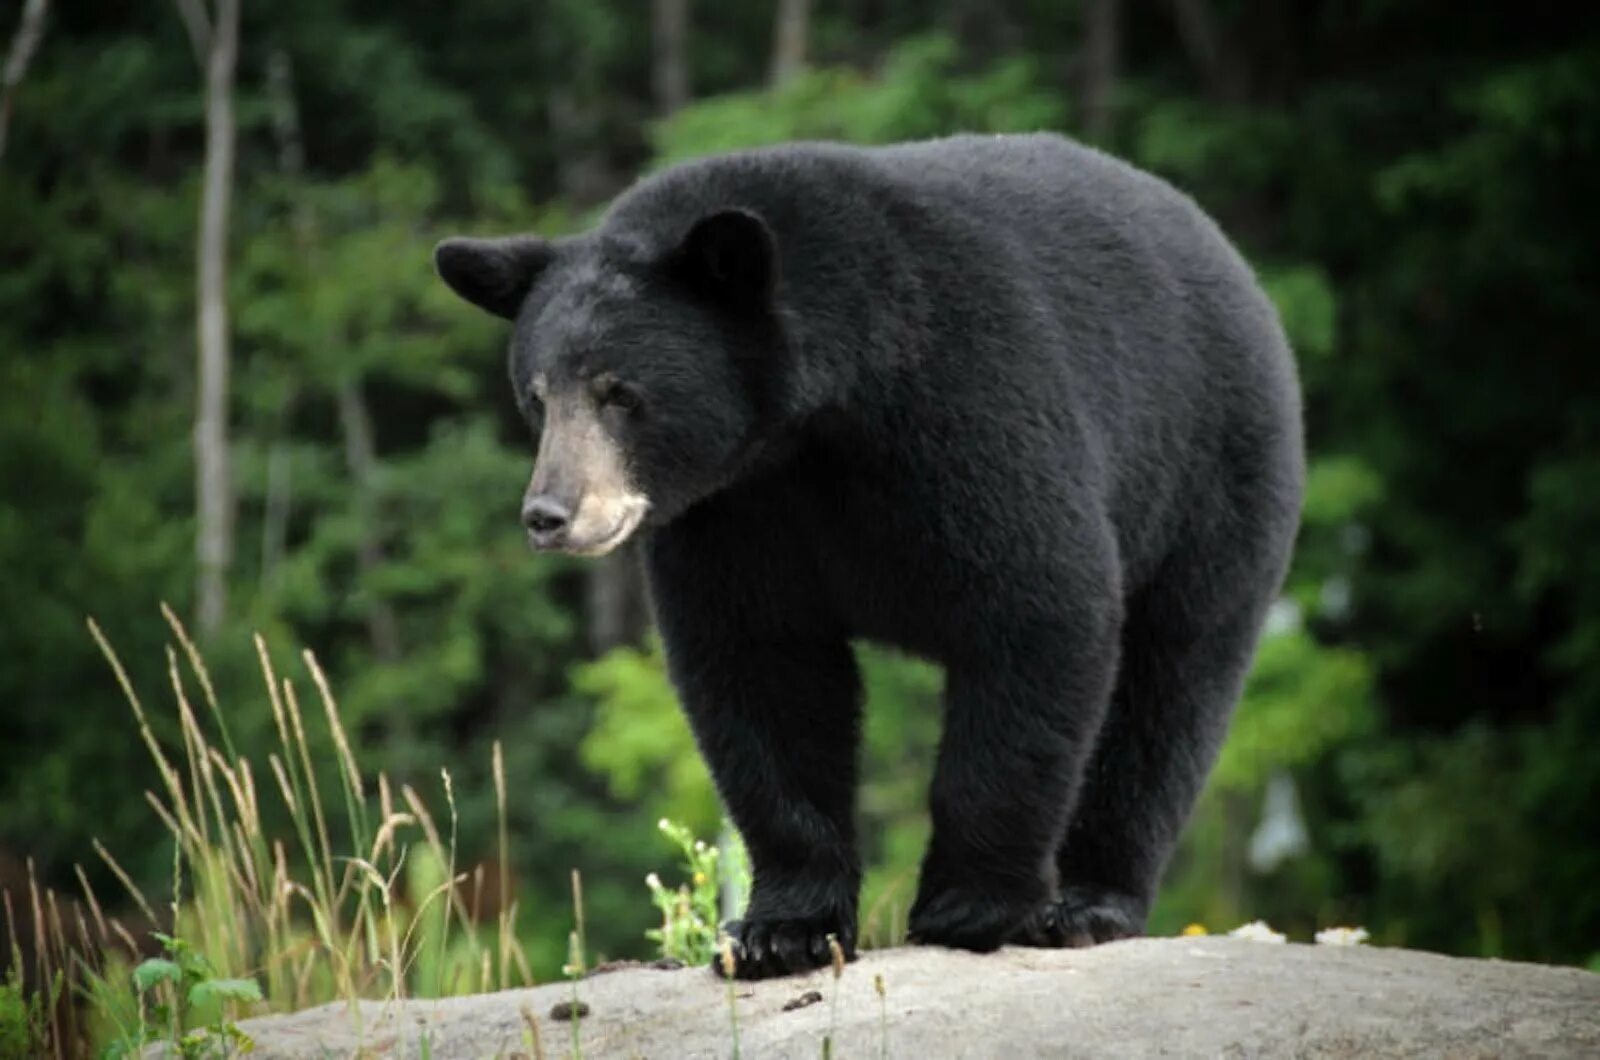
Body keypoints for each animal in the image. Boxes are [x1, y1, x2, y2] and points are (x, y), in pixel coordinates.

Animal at [435, 132, 1299, 979]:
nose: (550, 514)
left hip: (1211, 478)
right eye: (537, 396)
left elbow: (1037, 608)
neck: (816, 422)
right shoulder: (736, 511)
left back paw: (1090, 903)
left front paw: (969, 906)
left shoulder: (971, 402)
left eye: (620, 392)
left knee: (1169, 689)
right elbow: (761, 669)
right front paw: (781, 930)